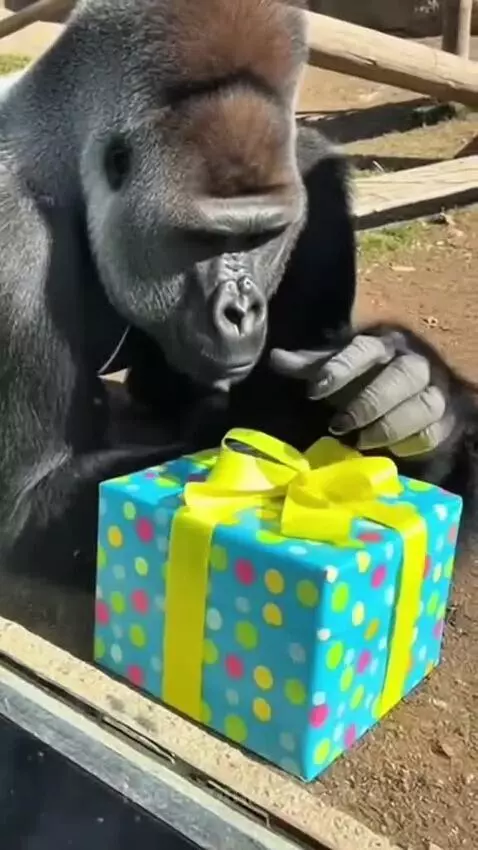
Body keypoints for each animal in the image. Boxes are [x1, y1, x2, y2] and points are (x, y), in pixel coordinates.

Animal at [0, 0, 475, 613]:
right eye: (203, 240)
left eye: (260, 237)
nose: (241, 309)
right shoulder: (13, 243)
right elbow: (33, 499)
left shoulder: (311, 180)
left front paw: (426, 397)